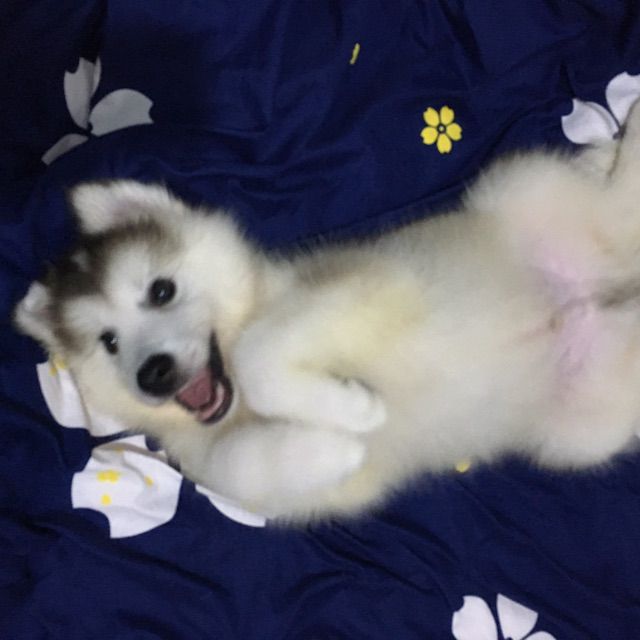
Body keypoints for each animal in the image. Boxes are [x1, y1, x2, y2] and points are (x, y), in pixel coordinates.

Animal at [15, 103, 640, 522]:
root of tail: (600, 296)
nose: (155, 373)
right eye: (109, 343)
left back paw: (622, 138)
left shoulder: (368, 284)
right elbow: (244, 467)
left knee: (619, 208)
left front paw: (356, 410)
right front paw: (338, 444)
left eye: (161, 291)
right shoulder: (263, 475)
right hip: (583, 431)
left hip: (521, 188)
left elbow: (258, 353)